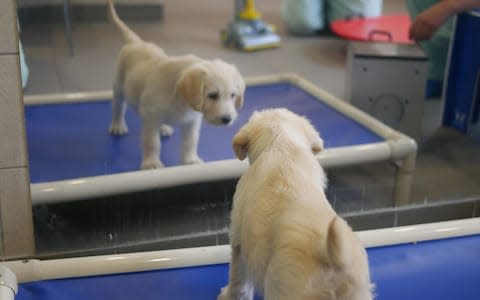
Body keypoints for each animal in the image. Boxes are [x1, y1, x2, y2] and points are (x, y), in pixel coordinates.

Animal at [107, 0, 246, 169]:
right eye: (213, 95)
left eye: (233, 96)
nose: (228, 119)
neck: (180, 99)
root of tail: (136, 42)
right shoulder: (150, 119)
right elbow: (152, 143)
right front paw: (152, 163)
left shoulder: (192, 122)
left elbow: (190, 142)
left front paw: (190, 160)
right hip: (119, 86)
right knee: (118, 105)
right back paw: (117, 125)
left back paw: (164, 127)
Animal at [219, 109, 374, 300]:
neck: (283, 146)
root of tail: (331, 257)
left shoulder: (238, 241)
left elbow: (239, 280)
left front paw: (227, 294)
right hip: (358, 293)